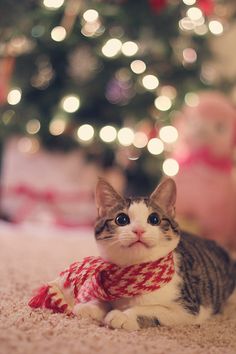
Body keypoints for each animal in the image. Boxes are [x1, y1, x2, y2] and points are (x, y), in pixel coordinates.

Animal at [29, 178, 236, 330]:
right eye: (121, 219)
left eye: (154, 219)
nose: (138, 230)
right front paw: (93, 305)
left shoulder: (189, 309)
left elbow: (154, 310)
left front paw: (123, 315)